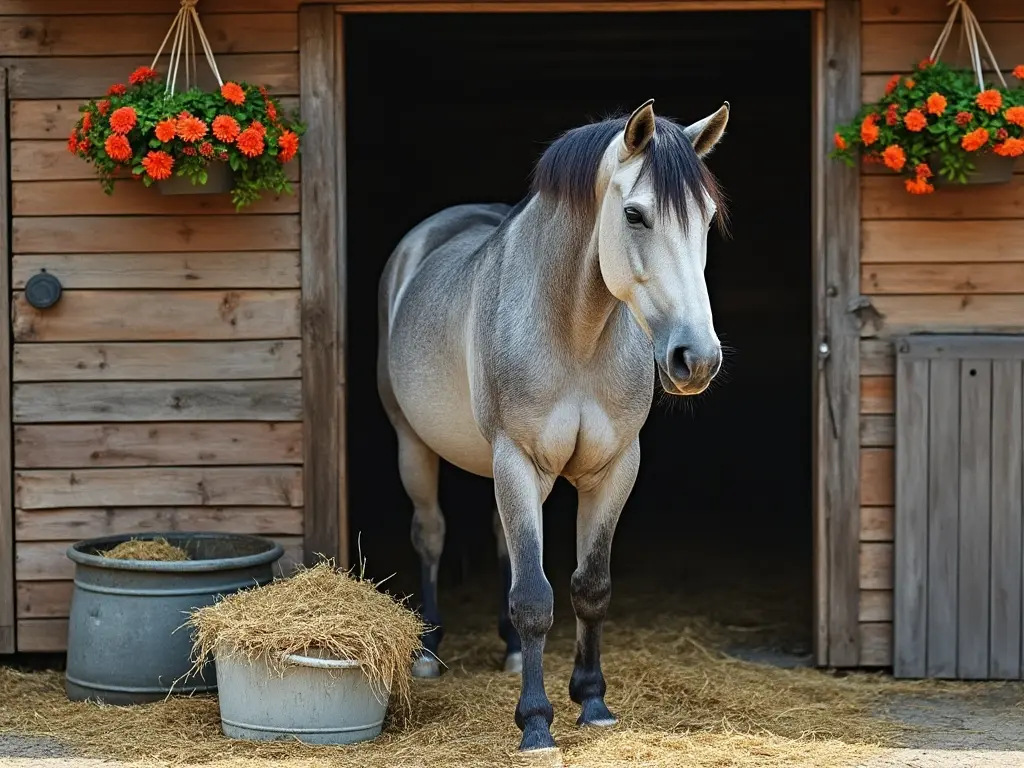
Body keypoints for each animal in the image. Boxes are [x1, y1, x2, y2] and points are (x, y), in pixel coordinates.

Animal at [376, 98, 729, 752]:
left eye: (707, 218)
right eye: (635, 215)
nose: (696, 360)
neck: (575, 331)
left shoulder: (613, 469)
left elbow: (590, 587)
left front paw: (592, 701)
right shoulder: (517, 460)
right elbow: (535, 597)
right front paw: (536, 722)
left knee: (503, 543)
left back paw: (512, 651)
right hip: (415, 446)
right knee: (430, 534)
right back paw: (430, 651)